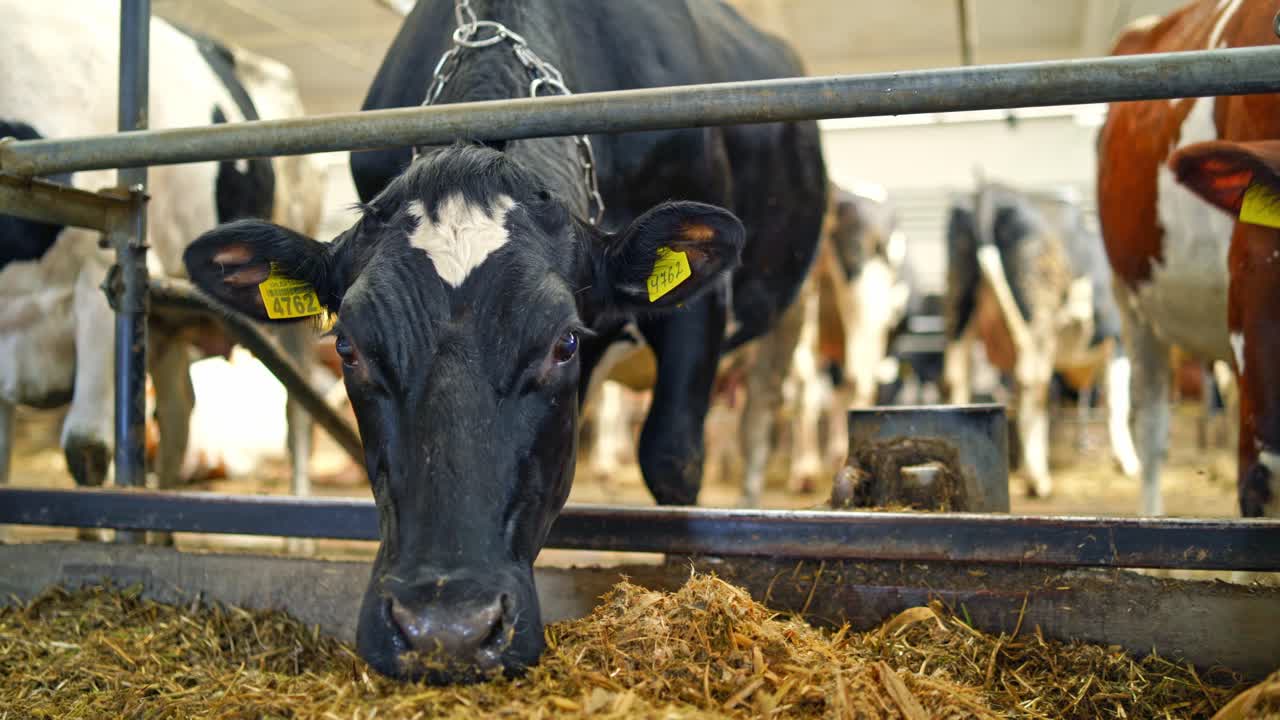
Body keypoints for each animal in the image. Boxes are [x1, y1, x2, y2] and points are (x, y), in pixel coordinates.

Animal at [0, 1, 325, 542]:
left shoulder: (100, 283)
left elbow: (86, 447)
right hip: (166, 321)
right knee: (178, 411)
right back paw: (165, 526)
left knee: (297, 404)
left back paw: (297, 531)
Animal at [182, 0, 825, 683]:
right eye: (347, 348)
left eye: (563, 343)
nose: (446, 629)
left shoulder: (700, 307)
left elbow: (673, 455)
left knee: (762, 413)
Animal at [943, 182, 1141, 500]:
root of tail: (990, 190)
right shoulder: (1119, 337)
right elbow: (1117, 402)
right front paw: (1128, 463)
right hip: (1038, 312)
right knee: (1032, 386)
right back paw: (1038, 480)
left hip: (959, 305)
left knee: (957, 377)